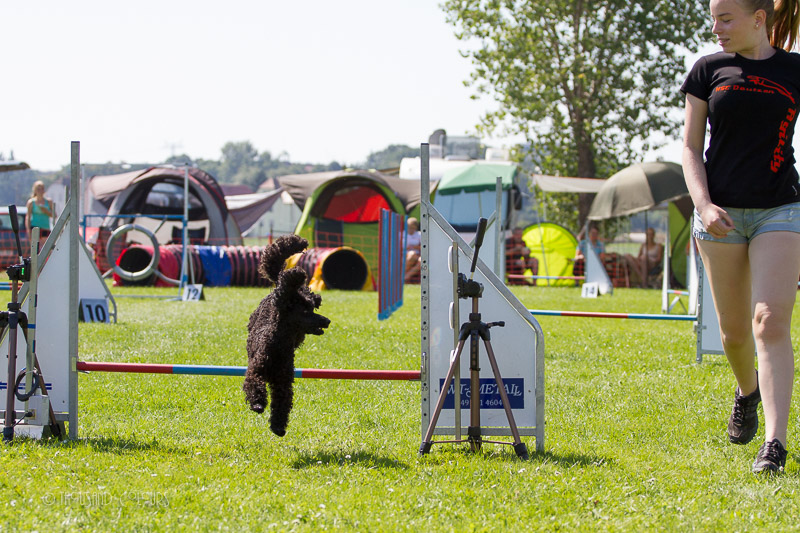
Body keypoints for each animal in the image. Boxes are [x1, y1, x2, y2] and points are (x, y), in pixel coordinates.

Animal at [243, 234, 330, 436]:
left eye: (312, 308)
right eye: (305, 312)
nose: (327, 321)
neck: (278, 344)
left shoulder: (283, 382)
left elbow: (282, 403)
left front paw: (278, 426)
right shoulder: (256, 370)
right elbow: (254, 384)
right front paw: (258, 404)